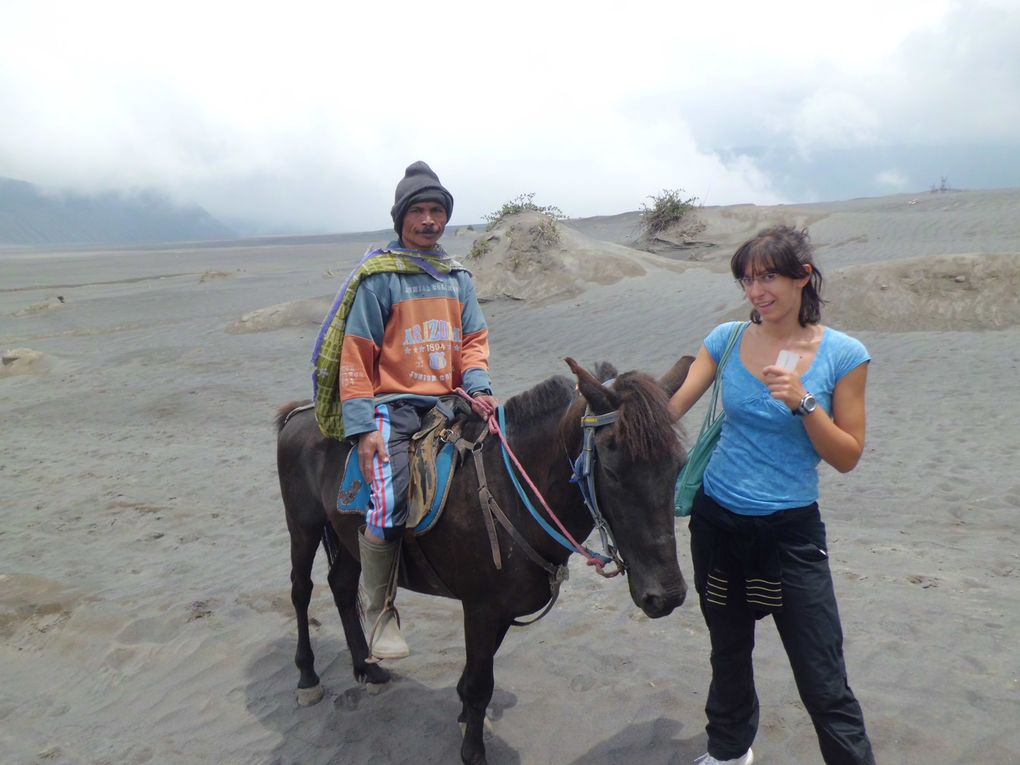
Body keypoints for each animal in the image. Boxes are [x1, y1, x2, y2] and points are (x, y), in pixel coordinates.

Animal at [277, 357, 693, 762]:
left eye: (678, 465)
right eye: (610, 469)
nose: (668, 595)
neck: (510, 490)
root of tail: (299, 414)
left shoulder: (501, 611)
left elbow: (476, 675)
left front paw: (464, 716)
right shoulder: (480, 608)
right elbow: (480, 684)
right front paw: (473, 750)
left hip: (349, 538)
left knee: (342, 586)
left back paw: (366, 667)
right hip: (303, 525)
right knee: (301, 591)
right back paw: (307, 677)